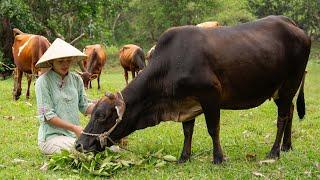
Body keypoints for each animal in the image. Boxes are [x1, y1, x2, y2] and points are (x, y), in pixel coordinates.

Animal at [77, 15, 310, 165]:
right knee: (289, 112)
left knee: (282, 118)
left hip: (290, 84)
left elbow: (213, 129)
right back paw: (287, 146)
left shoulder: (211, 96)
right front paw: (184, 157)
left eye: (101, 116)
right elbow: (187, 131)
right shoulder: (185, 102)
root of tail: (293, 24)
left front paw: (218, 158)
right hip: (282, 90)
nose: (80, 144)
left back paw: (274, 152)